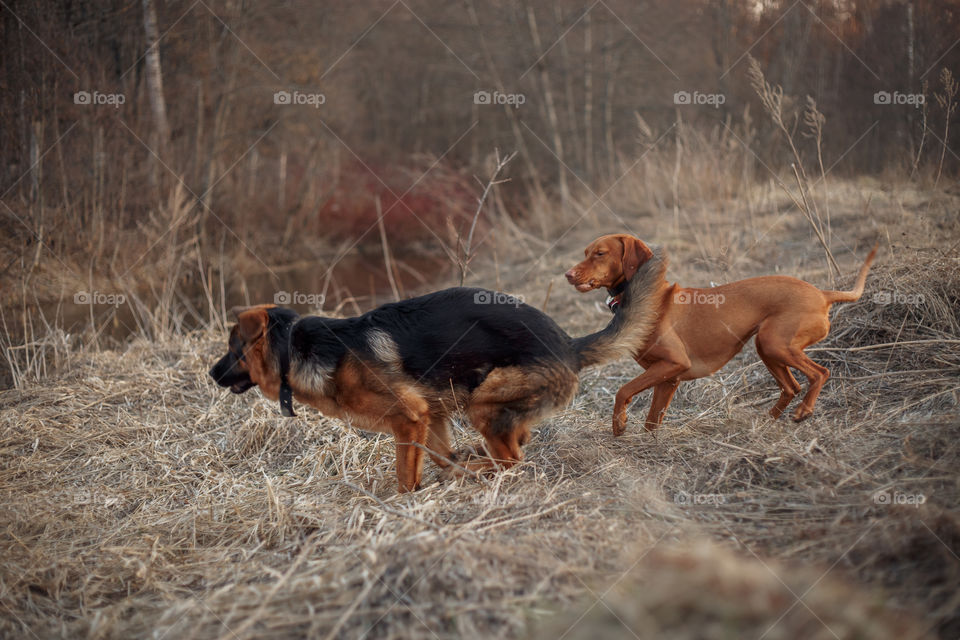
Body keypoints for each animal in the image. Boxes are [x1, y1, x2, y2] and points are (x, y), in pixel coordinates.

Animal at [210, 278, 664, 490]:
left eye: (233, 350)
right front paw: (452, 469)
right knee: (517, 441)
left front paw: (406, 501)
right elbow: (442, 457)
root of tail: (568, 344)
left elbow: (405, 475)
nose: (210, 374)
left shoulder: (409, 417)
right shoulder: (433, 414)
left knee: (512, 459)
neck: (299, 350)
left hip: (483, 400)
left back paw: (486, 467)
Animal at [564, 235, 876, 436]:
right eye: (585, 252)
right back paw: (764, 423)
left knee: (820, 373)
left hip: (775, 343)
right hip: (767, 346)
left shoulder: (673, 364)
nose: (567, 274)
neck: (649, 297)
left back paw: (803, 411)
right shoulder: (669, 377)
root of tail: (822, 294)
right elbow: (652, 421)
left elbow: (623, 390)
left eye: (600, 253)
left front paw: (619, 424)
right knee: (792, 387)